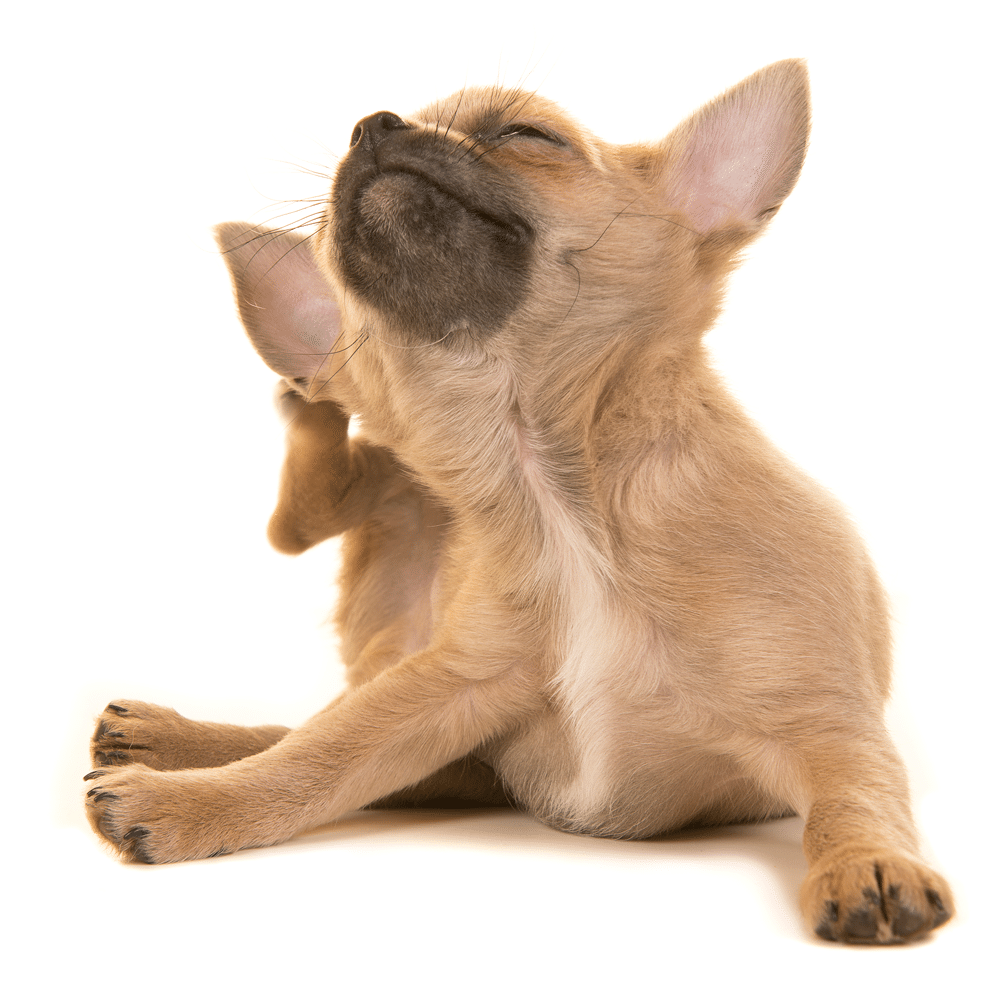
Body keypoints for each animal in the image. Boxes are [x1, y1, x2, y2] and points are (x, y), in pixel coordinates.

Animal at [86, 60, 952, 944]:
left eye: (527, 135)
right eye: (327, 230)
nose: (372, 125)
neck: (551, 499)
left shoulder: (829, 729)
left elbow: (855, 800)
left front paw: (869, 863)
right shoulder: (446, 686)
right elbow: (312, 761)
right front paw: (192, 803)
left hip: (455, 764)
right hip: (384, 553)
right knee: (305, 607)